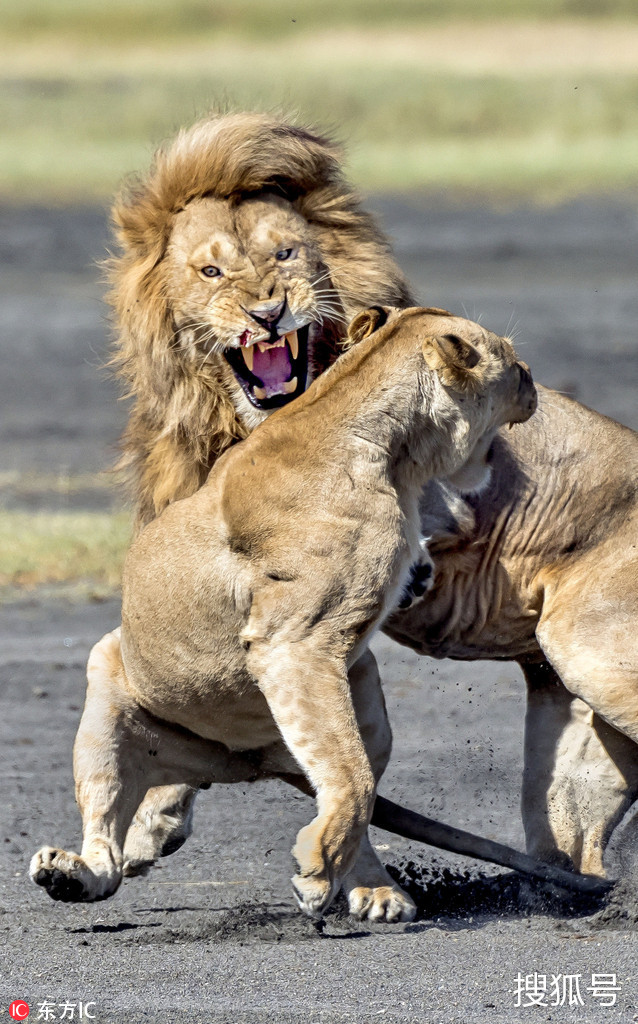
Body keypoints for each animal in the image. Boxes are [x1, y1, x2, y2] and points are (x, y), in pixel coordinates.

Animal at [29, 305, 540, 921]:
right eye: (512, 360)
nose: (534, 382)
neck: (390, 454)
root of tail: (252, 763)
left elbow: (352, 776)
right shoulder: (295, 643)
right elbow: (351, 776)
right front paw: (316, 874)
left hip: (364, 689)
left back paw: (373, 889)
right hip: (107, 688)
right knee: (106, 829)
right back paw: (75, 873)